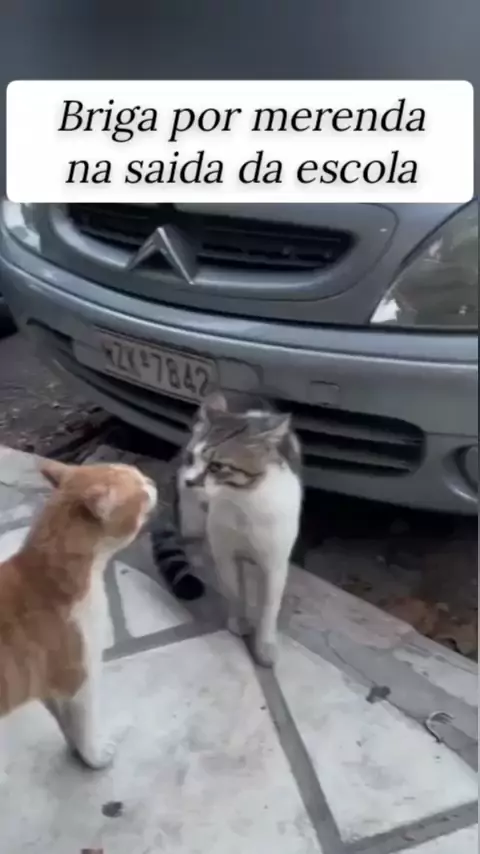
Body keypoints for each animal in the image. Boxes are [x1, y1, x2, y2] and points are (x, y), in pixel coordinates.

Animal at [0, 459, 156, 769]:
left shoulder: (47, 685)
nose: (152, 482)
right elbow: (83, 725)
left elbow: (66, 724)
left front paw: (76, 751)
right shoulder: (78, 680)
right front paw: (94, 757)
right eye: (141, 489)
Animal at [153, 391, 302, 666]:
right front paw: (238, 622)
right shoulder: (225, 551)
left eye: (216, 466)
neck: (242, 502)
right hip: (191, 521)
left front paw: (264, 646)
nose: (188, 481)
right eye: (192, 458)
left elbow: (269, 607)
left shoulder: (275, 562)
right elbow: (234, 590)